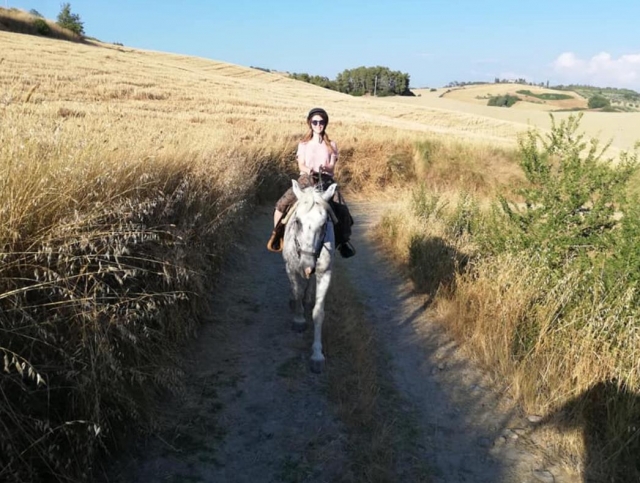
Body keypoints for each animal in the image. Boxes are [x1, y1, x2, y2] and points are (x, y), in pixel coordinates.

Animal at [282, 179, 338, 373]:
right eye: (297, 221)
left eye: (324, 224)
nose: (307, 265)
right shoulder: (291, 268)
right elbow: (297, 292)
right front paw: (299, 320)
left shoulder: (325, 273)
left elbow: (318, 313)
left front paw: (317, 354)